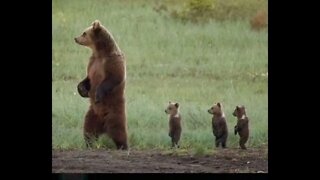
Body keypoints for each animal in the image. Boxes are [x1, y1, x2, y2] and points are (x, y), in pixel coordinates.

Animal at [74, 19, 127, 150]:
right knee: (88, 130)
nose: (76, 38)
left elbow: (113, 78)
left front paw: (97, 95)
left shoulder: (112, 61)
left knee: (118, 131)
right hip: (92, 114)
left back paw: (123, 146)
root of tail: (103, 126)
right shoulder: (92, 63)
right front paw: (82, 90)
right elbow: (87, 79)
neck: (100, 53)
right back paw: (89, 144)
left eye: (84, 33)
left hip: (114, 112)